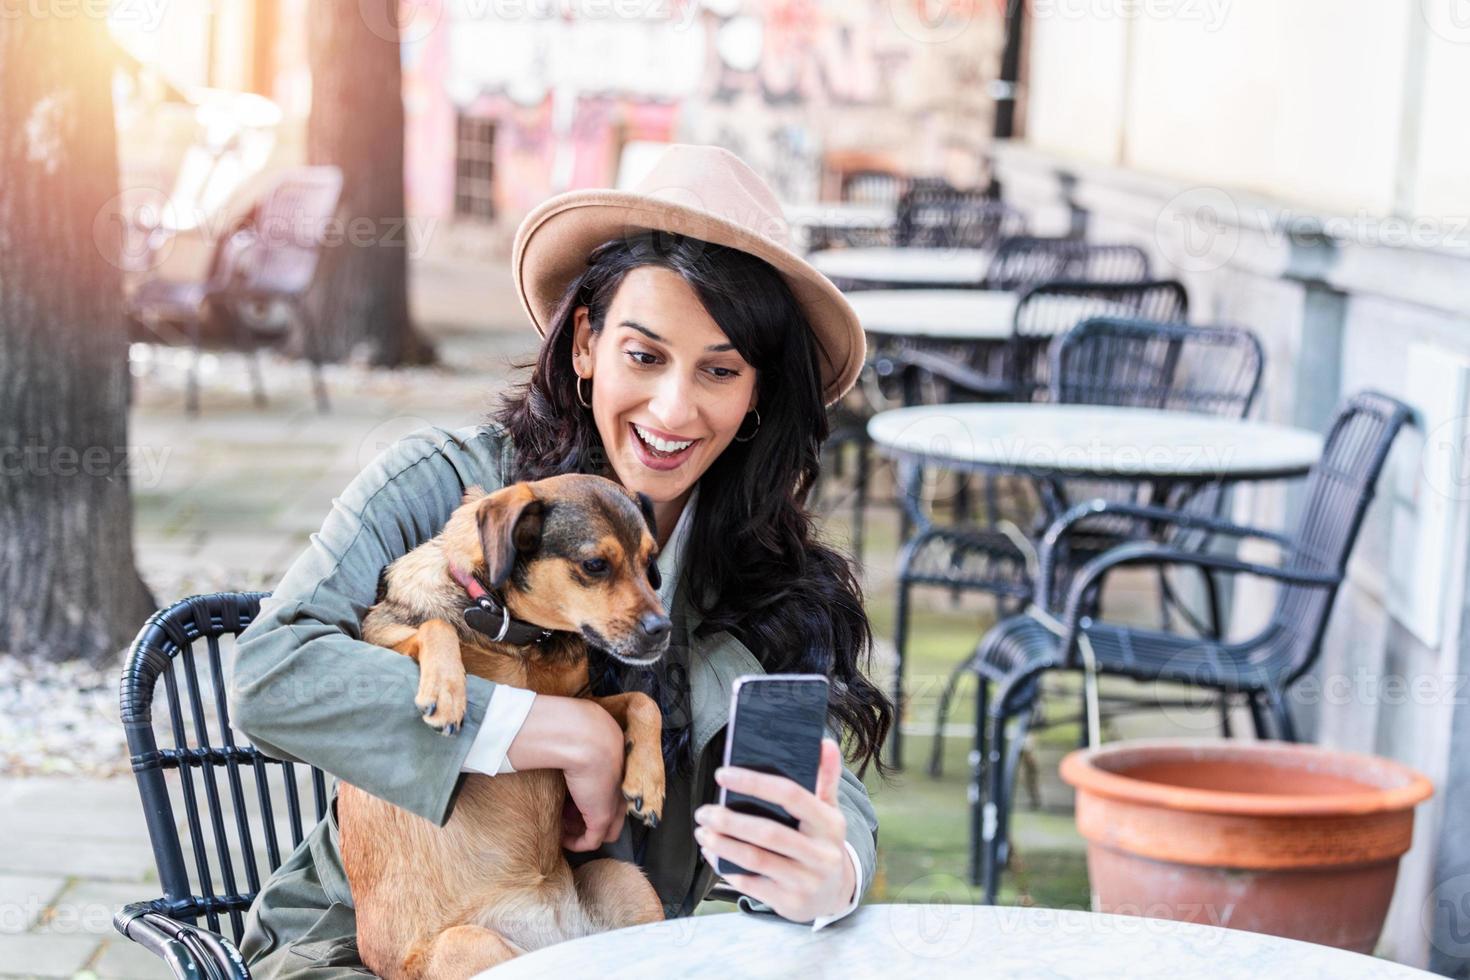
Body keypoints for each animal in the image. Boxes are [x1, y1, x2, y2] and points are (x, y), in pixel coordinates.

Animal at [338, 470, 673, 975]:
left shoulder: (579, 702)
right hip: (470, 945)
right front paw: (446, 692)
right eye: (595, 564)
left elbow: (642, 702)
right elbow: (436, 626)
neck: (517, 636)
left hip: (621, 880)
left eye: (649, 560)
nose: (663, 629)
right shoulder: (379, 646)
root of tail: (555, 940)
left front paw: (648, 783)